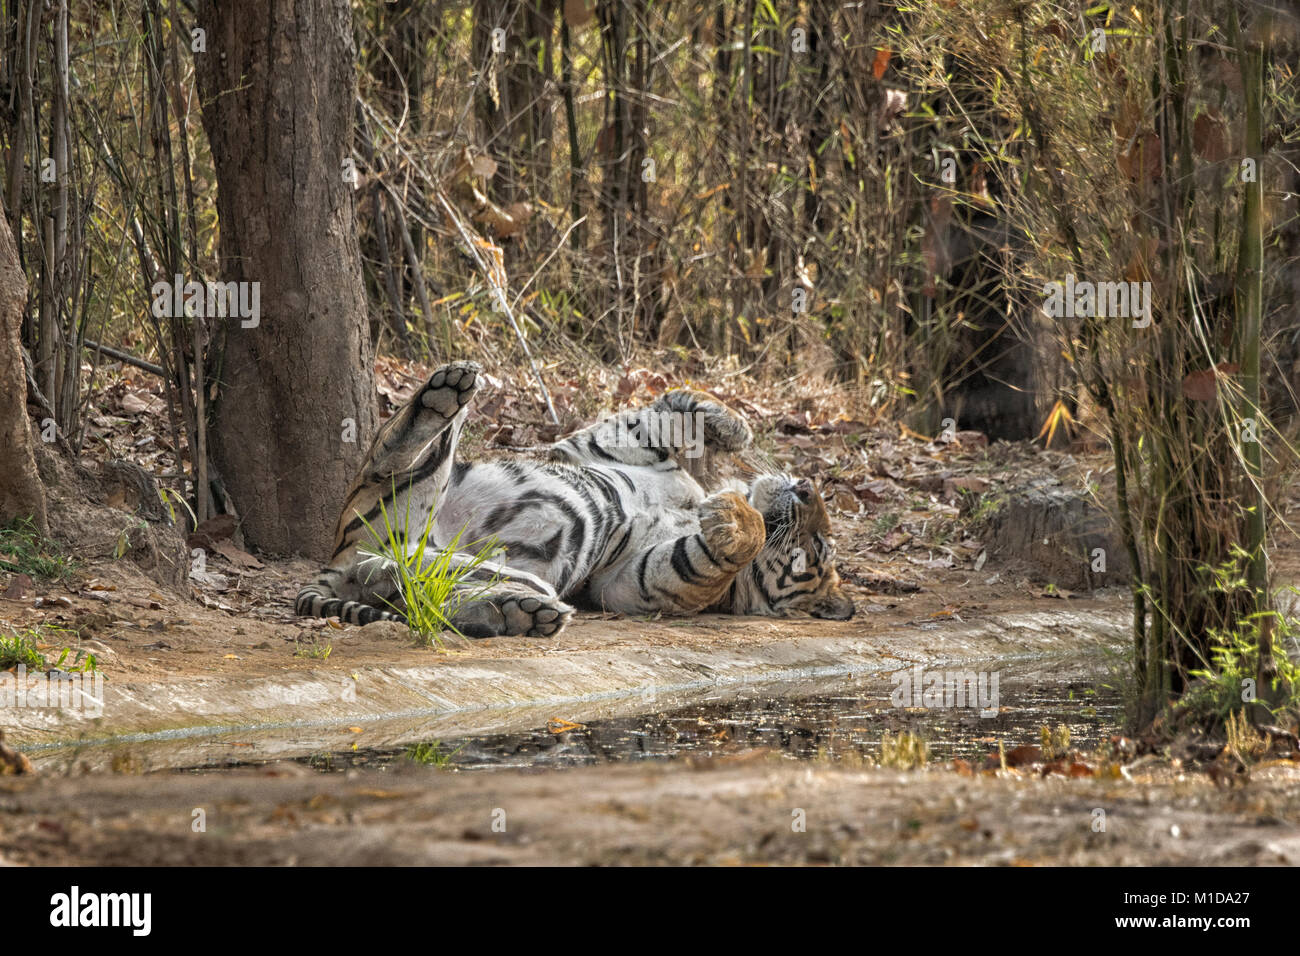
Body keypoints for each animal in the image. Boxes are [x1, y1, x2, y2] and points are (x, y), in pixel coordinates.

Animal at [299, 361, 857, 639]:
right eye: (823, 535)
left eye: (815, 549)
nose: (807, 488)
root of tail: (341, 559)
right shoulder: (607, 447)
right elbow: (675, 411)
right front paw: (729, 430)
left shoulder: (634, 580)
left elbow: (706, 554)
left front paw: (735, 518)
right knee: (392, 450)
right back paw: (447, 389)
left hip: (446, 553)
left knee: (418, 584)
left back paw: (517, 613)